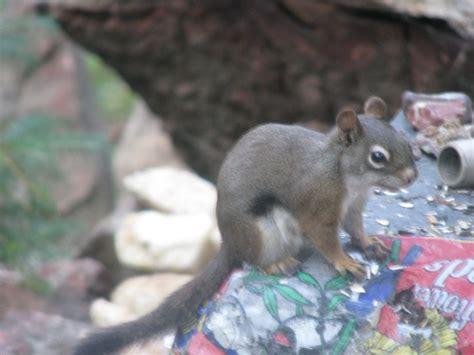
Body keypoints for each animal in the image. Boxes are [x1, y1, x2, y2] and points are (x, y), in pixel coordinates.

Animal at [73, 96, 414, 354]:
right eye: (378, 157)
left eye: (405, 140)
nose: (412, 177)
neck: (345, 175)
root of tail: (230, 242)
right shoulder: (317, 205)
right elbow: (326, 239)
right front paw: (344, 262)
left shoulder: (354, 207)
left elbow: (356, 229)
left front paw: (369, 244)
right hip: (262, 231)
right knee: (253, 260)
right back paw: (277, 264)